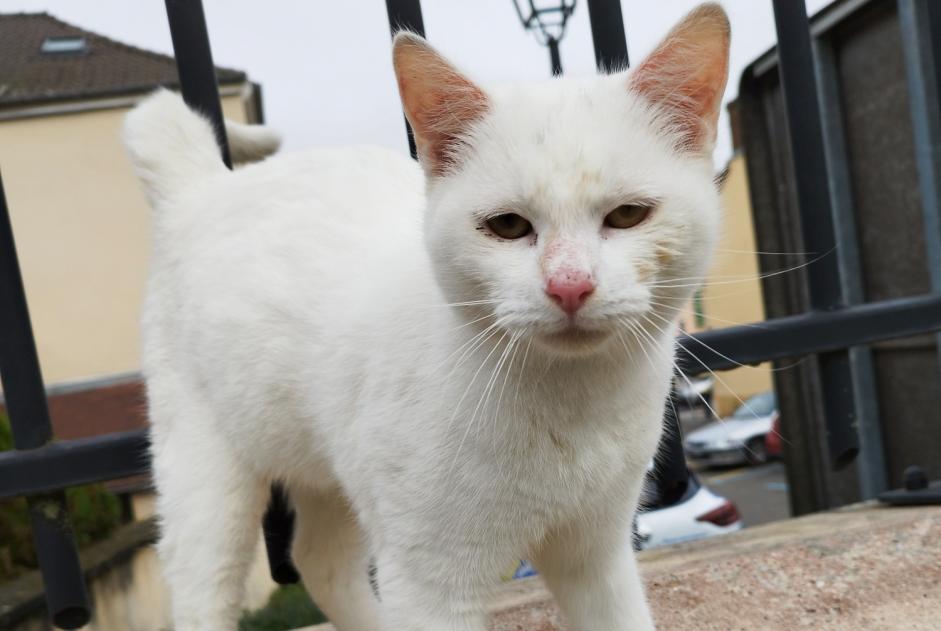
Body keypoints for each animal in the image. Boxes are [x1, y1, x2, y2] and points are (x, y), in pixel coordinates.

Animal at [123, 6, 728, 631]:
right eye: (507, 226)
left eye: (628, 215)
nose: (569, 285)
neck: (573, 402)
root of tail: (202, 186)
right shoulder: (430, 583)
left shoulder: (598, 554)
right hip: (205, 477)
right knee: (203, 587)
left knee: (319, 558)